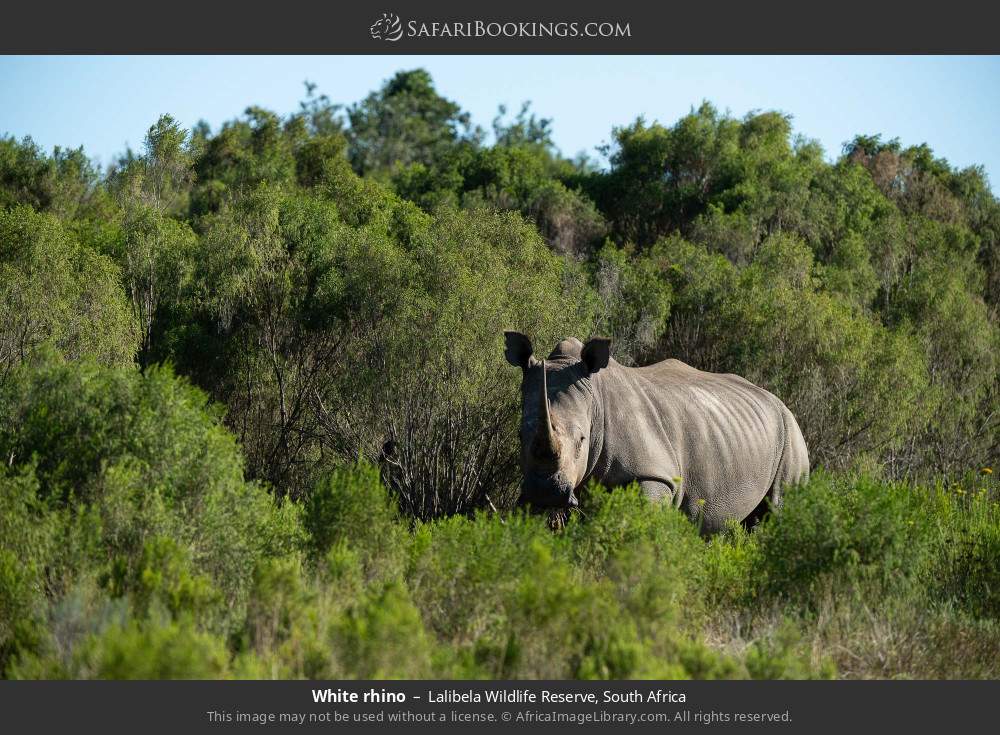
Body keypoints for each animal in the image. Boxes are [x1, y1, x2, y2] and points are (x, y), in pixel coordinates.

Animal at [504, 332, 809, 533]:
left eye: (582, 440)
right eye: (518, 436)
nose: (546, 492)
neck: (597, 403)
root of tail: (782, 403)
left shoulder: (654, 474)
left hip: (791, 435)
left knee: (778, 508)